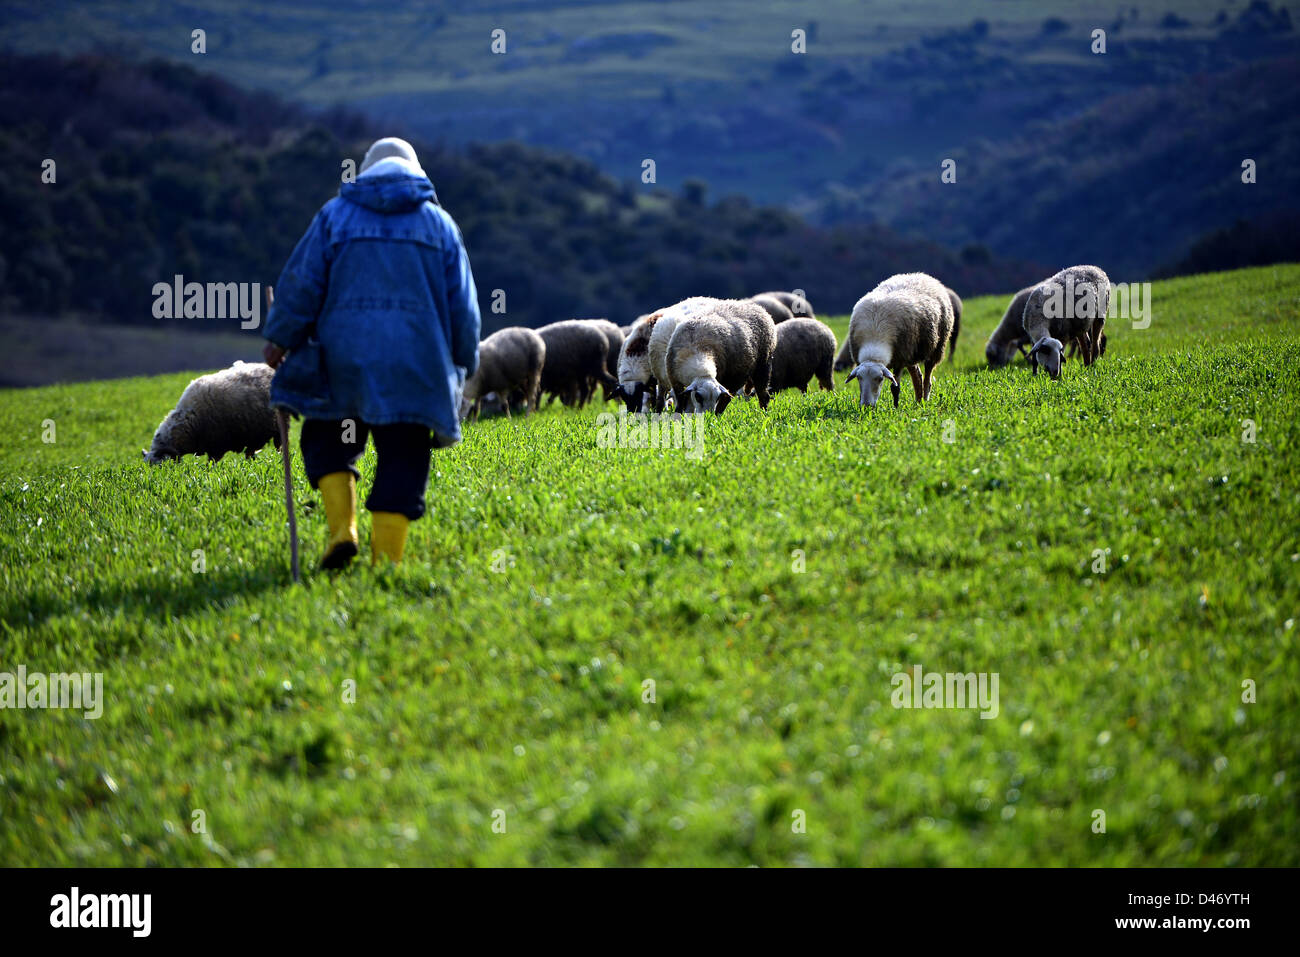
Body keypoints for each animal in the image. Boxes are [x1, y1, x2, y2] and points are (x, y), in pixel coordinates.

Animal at [842, 269, 956, 408]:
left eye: (880, 379)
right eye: (859, 378)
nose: (867, 405)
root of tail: (922, 275)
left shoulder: (900, 360)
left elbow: (895, 388)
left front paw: (896, 408)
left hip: (936, 346)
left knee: (927, 377)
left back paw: (924, 399)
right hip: (912, 352)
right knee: (917, 375)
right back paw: (918, 401)